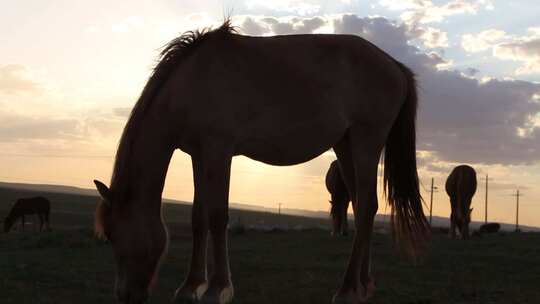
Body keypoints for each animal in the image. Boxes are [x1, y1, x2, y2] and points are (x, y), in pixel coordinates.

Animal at [94, 19, 430, 304]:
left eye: (112, 234)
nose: (125, 296)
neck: (194, 82)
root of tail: (396, 67)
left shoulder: (218, 151)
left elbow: (217, 216)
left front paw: (217, 288)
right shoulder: (198, 155)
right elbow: (198, 219)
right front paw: (190, 286)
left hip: (365, 144)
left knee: (367, 207)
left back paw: (347, 289)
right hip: (345, 146)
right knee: (363, 208)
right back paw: (363, 285)